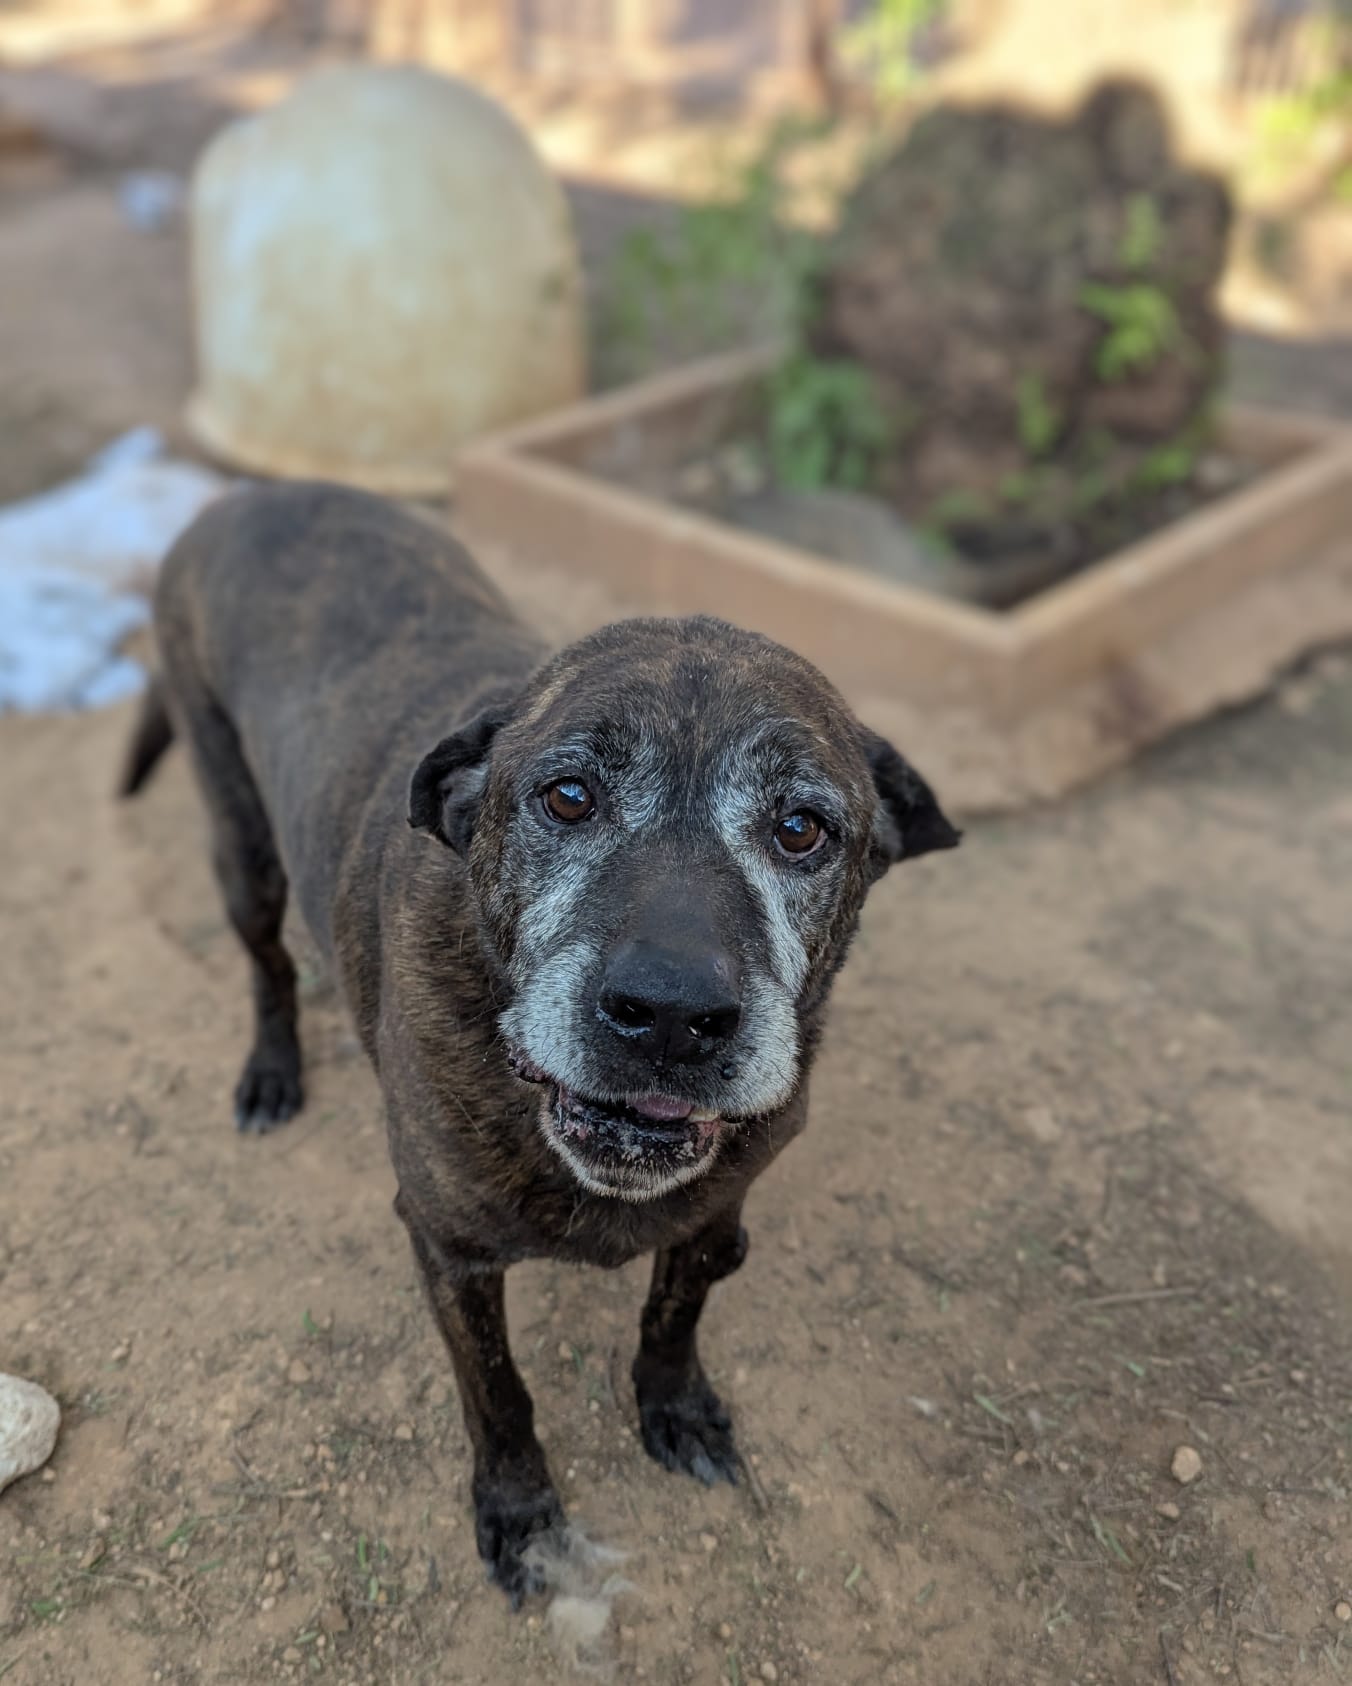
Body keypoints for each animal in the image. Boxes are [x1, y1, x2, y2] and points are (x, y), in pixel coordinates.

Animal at [121, 481, 960, 1603]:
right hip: (240, 843)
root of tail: (260, 490)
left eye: (800, 829)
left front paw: (675, 1408)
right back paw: (270, 1071)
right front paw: (521, 1515)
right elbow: (500, 1393)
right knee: (267, 964)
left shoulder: (712, 1217)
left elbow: (672, 1318)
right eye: (568, 796)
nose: (669, 1015)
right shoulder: (449, 1251)